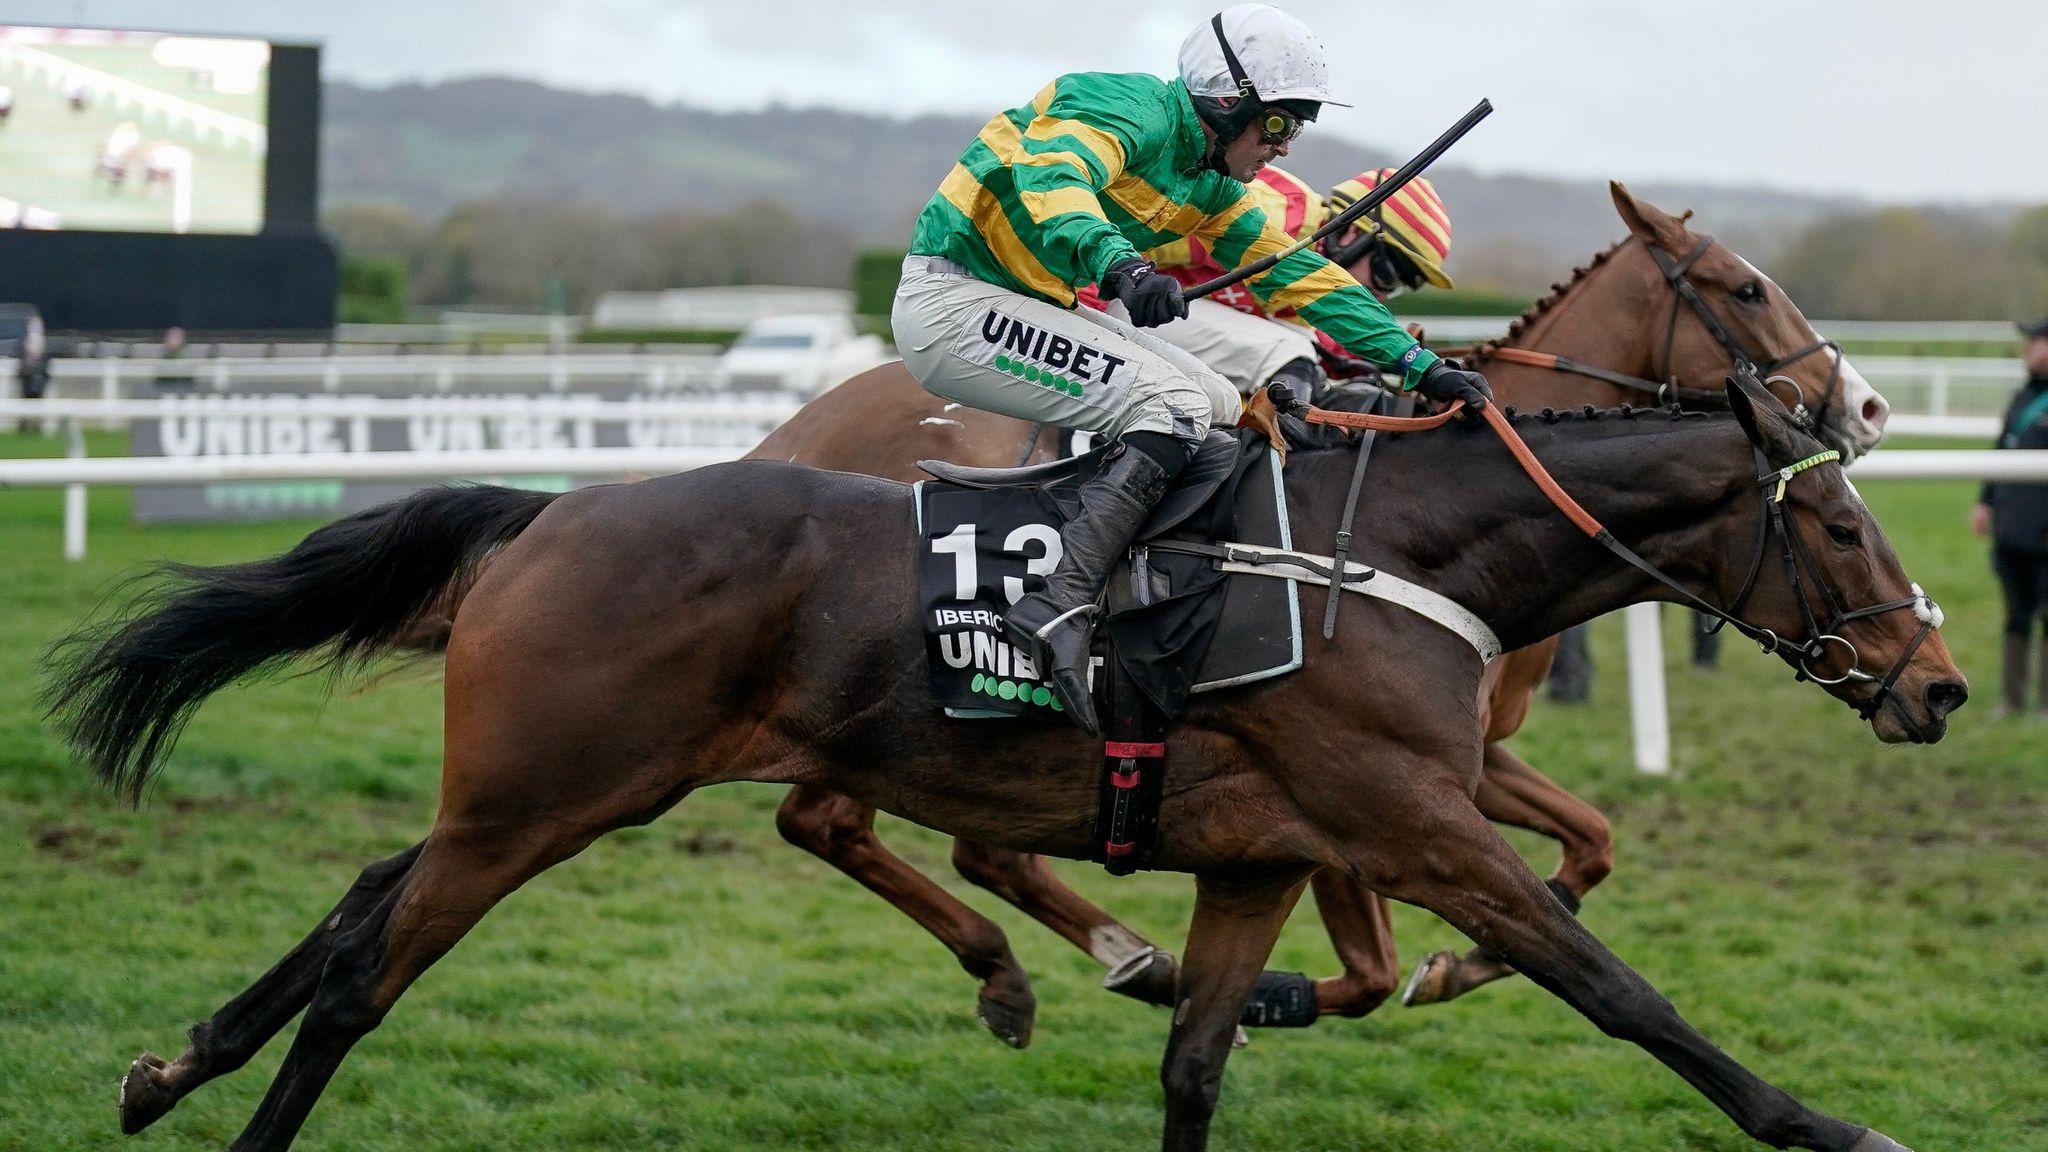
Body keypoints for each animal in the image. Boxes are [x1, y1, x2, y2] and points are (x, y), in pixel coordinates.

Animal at [56, 362, 1957, 1139]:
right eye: (1839, 526)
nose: (1936, 686)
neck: (1391, 553)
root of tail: (553, 510)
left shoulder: (1265, 855)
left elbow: (1196, 1064)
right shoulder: (1420, 827)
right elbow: (1621, 990)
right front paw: (1833, 1126)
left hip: (543, 786)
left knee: (370, 891)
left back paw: (166, 1067)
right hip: (551, 792)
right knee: (367, 974)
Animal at [745, 181, 1892, 1033]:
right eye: (1745, 289)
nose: (1869, 408)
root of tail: (789, 435)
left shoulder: (1468, 754)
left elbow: (1591, 841)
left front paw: (1463, 962)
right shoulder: (1346, 772)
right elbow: (1372, 962)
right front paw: (1282, 989)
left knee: (937, 839)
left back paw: (1082, 957)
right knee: (833, 820)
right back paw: (1057, 963)